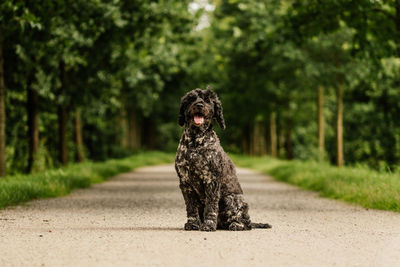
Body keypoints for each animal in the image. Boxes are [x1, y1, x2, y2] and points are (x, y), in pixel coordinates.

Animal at [175, 87, 272, 231]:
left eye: (208, 100)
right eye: (191, 99)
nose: (199, 105)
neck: (195, 141)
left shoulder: (212, 180)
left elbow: (211, 205)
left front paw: (209, 225)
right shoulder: (185, 182)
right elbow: (191, 206)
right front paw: (192, 224)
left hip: (231, 199)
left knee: (246, 223)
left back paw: (236, 225)